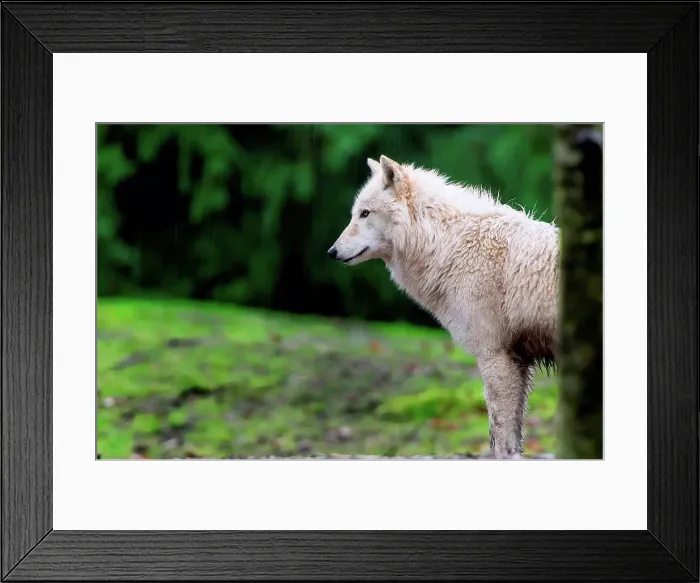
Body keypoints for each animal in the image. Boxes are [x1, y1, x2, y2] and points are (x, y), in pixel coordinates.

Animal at [328, 155, 560, 459]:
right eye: (356, 213)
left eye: (364, 214)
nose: (331, 252)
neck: (448, 245)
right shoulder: (516, 361)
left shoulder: (495, 356)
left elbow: (502, 440)